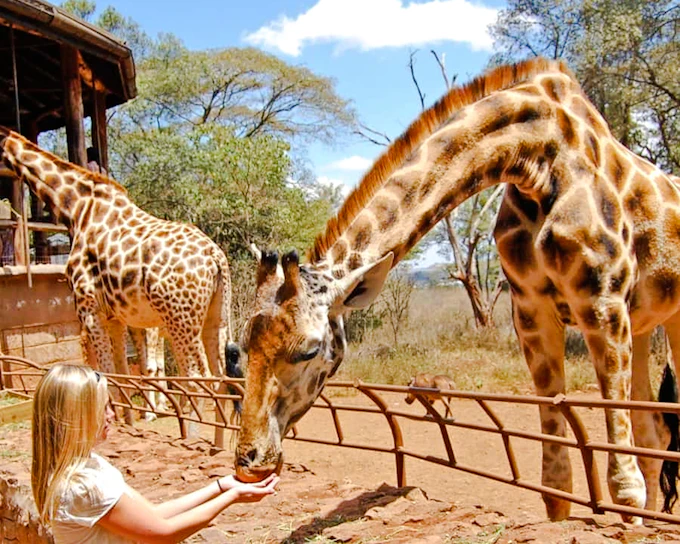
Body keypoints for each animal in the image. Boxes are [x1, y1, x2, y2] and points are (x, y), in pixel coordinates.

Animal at [0, 127, 234, 432]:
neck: (76, 209)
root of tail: (215, 257)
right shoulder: (116, 318)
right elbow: (122, 372)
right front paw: (128, 420)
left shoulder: (88, 309)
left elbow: (105, 372)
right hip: (214, 317)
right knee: (220, 378)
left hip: (180, 319)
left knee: (197, 378)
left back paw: (190, 433)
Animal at [234, 57, 680, 523]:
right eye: (244, 345)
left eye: (308, 350)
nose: (249, 460)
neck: (537, 158)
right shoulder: (531, 313)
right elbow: (556, 485)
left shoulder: (602, 301)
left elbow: (625, 485)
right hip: (643, 324)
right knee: (655, 430)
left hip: (668, 318)